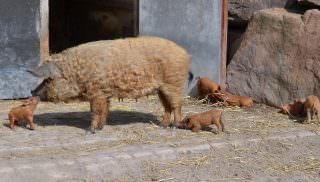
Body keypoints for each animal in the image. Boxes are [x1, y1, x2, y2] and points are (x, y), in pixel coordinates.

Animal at [30, 37, 190, 134]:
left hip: (174, 84)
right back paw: (163, 125)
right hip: (161, 89)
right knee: (167, 107)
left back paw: (175, 126)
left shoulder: (96, 92)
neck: (76, 72)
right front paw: (101, 128)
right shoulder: (104, 93)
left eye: (48, 80)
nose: (32, 92)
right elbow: (105, 110)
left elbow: (95, 111)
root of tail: (184, 52)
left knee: (177, 105)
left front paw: (90, 131)